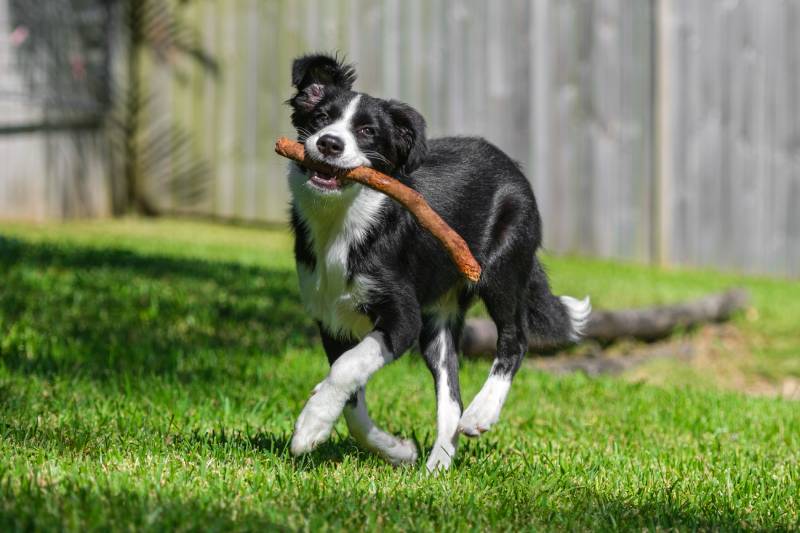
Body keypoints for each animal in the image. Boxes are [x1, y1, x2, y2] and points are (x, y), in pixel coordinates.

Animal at [284, 53, 592, 470]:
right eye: (319, 117)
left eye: (367, 131)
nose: (329, 143)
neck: (343, 222)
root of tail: (511, 165)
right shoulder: (332, 319)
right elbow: (350, 397)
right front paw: (395, 449)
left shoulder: (403, 318)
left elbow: (348, 366)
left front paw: (310, 425)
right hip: (439, 322)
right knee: (450, 395)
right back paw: (438, 466)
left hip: (501, 267)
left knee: (515, 339)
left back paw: (481, 413)